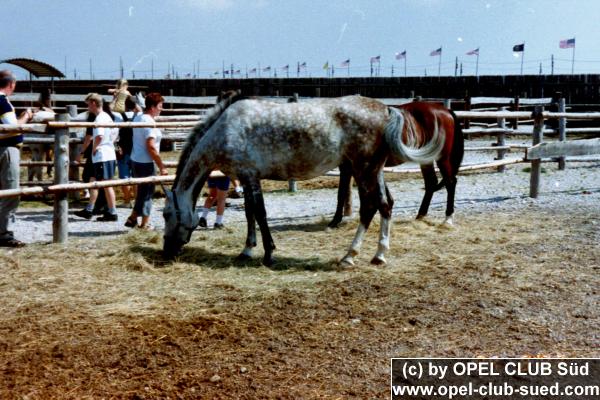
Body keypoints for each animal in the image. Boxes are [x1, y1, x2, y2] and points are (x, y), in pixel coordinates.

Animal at [163, 93, 446, 268]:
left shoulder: (250, 177)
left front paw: (268, 253)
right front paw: (247, 250)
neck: (226, 129)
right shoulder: (247, 177)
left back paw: (351, 256)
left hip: (364, 169)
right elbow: (250, 214)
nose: (167, 251)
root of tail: (386, 110)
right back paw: (377, 255)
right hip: (373, 171)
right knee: (384, 205)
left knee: (371, 207)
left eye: (166, 214)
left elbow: (259, 213)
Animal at [328, 101, 464, 228]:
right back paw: (420, 215)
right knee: (431, 183)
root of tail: (445, 111)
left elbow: (344, 193)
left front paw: (335, 221)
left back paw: (448, 218)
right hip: (426, 159)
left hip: (442, 158)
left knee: (450, 182)